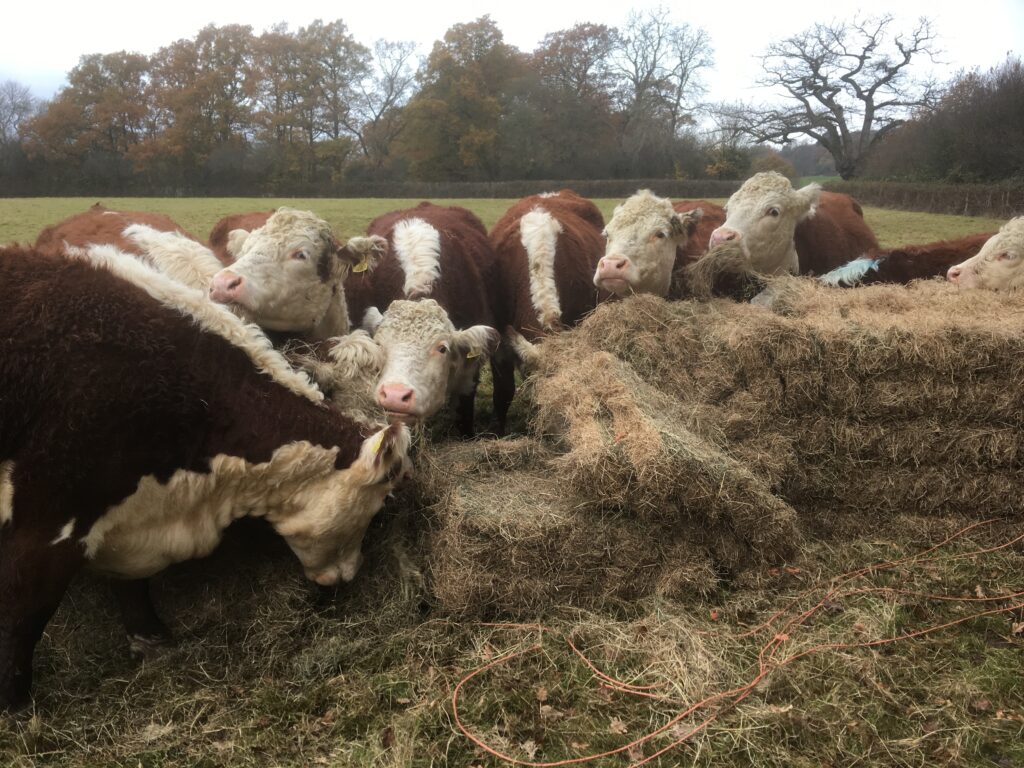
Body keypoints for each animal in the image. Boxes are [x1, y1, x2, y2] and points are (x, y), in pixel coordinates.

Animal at [3, 246, 411, 716]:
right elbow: (24, 615)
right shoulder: (47, 525)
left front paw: (152, 640)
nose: (350, 574)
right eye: (378, 505)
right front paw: (14, 703)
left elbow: (131, 588)